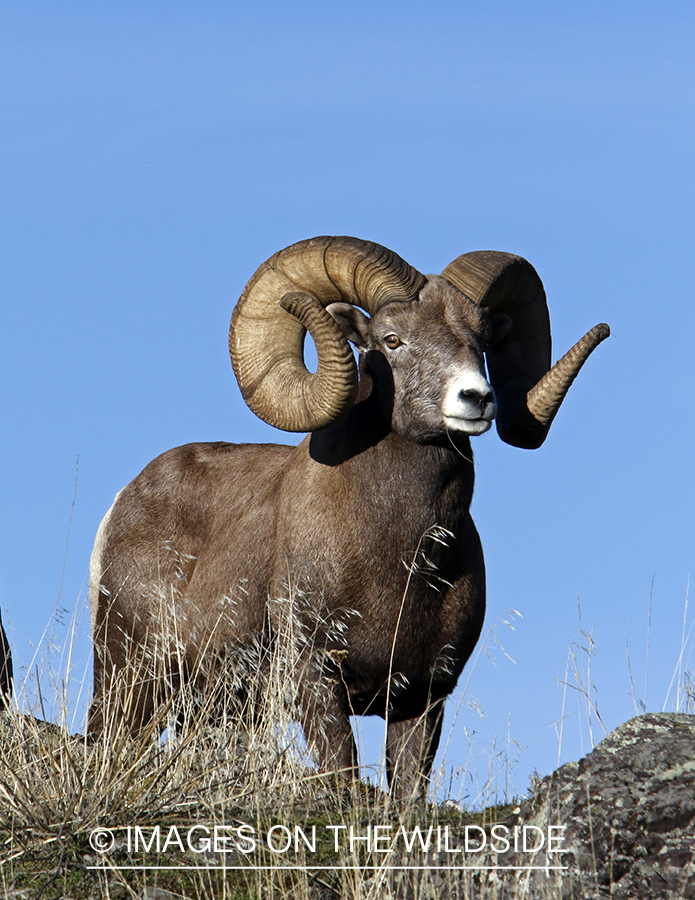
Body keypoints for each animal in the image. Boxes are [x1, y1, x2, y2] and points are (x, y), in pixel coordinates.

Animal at [88, 237, 608, 796]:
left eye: (482, 340)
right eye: (392, 339)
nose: (476, 398)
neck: (403, 559)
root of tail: (123, 502)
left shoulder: (422, 698)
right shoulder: (317, 682)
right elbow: (341, 775)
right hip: (128, 685)